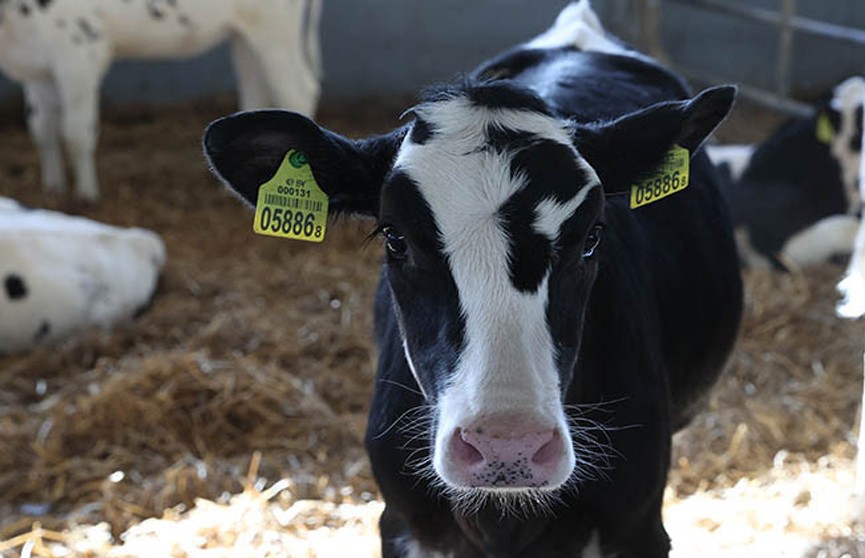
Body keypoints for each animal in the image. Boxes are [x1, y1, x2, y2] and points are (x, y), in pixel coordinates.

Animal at [0, 0, 322, 201]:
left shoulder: (80, 53)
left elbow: (76, 133)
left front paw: (86, 195)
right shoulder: (38, 71)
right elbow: (42, 130)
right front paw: (52, 188)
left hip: (275, 27)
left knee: (298, 89)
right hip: (243, 34)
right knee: (255, 89)